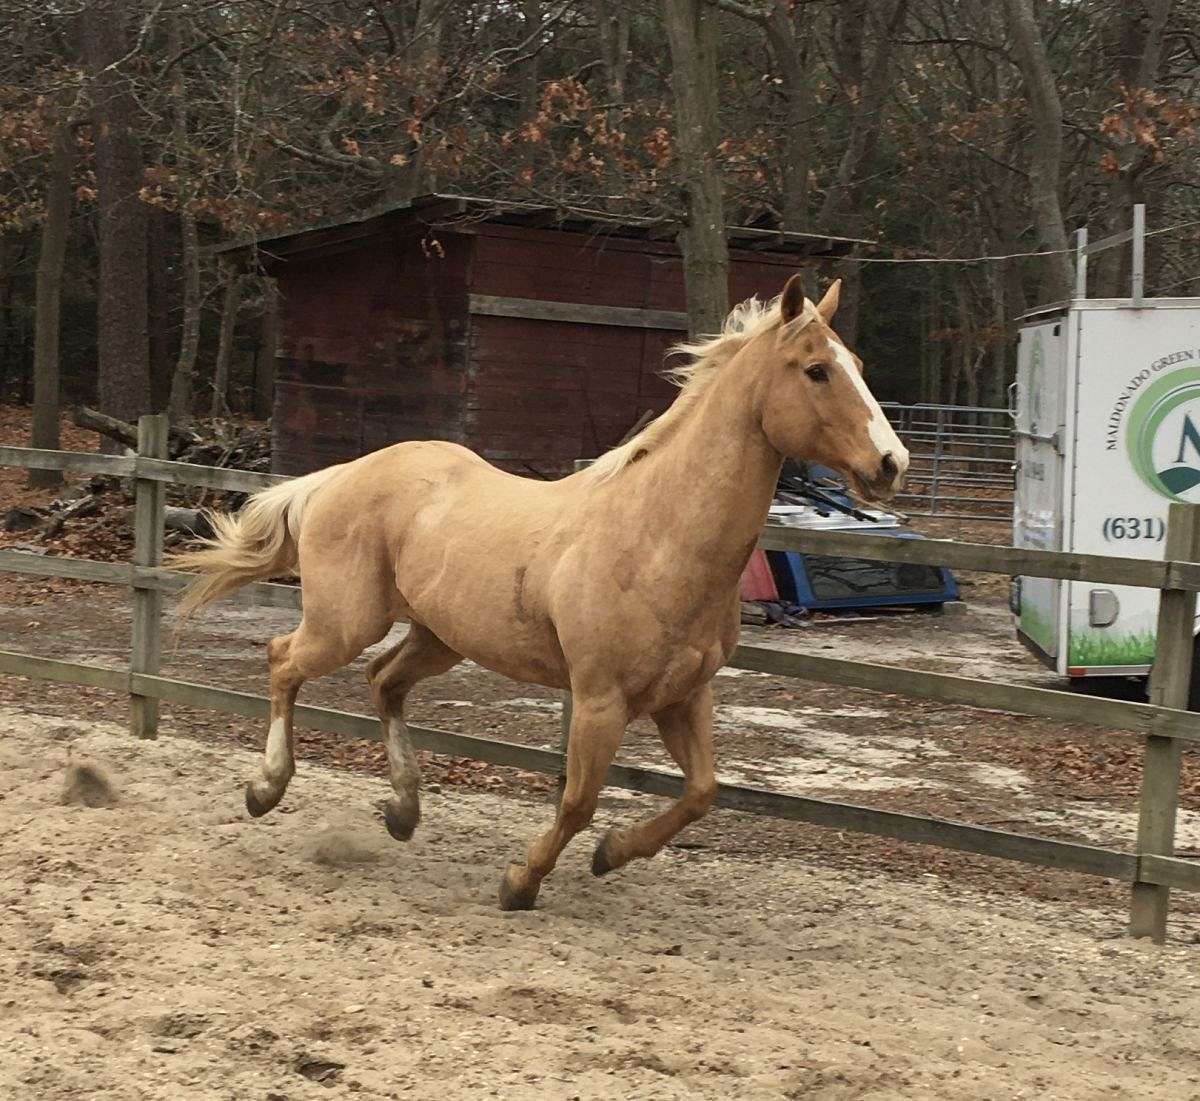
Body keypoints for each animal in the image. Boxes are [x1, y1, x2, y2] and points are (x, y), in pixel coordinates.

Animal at [173, 275, 908, 910]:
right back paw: (266, 788)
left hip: (441, 636)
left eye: (858, 361)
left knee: (383, 682)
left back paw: (405, 810)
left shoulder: (685, 696)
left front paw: (613, 853)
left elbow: (701, 792)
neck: (657, 536)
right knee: (282, 660)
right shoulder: (600, 699)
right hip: (344, 623)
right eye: (816, 370)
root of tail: (341, 474)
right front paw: (520, 882)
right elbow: (578, 800)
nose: (891, 463)